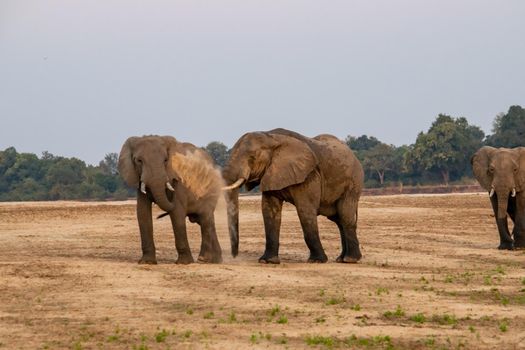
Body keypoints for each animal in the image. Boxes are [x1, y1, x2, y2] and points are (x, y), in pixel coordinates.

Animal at [117, 135, 222, 264]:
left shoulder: (180, 181)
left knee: (206, 219)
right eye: (139, 161)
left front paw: (183, 263)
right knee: (204, 221)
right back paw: (213, 260)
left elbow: (177, 212)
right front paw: (147, 262)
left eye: (166, 160)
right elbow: (142, 213)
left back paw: (205, 260)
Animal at [222, 128, 364, 262]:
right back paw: (341, 259)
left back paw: (350, 260)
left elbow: (305, 210)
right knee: (338, 219)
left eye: (252, 157)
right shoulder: (271, 173)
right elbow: (269, 211)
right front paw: (267, 261)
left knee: (345, 215)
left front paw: (316, 261)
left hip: (353, 183)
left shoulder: (309, 175)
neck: (271, 137)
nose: (234, 256)